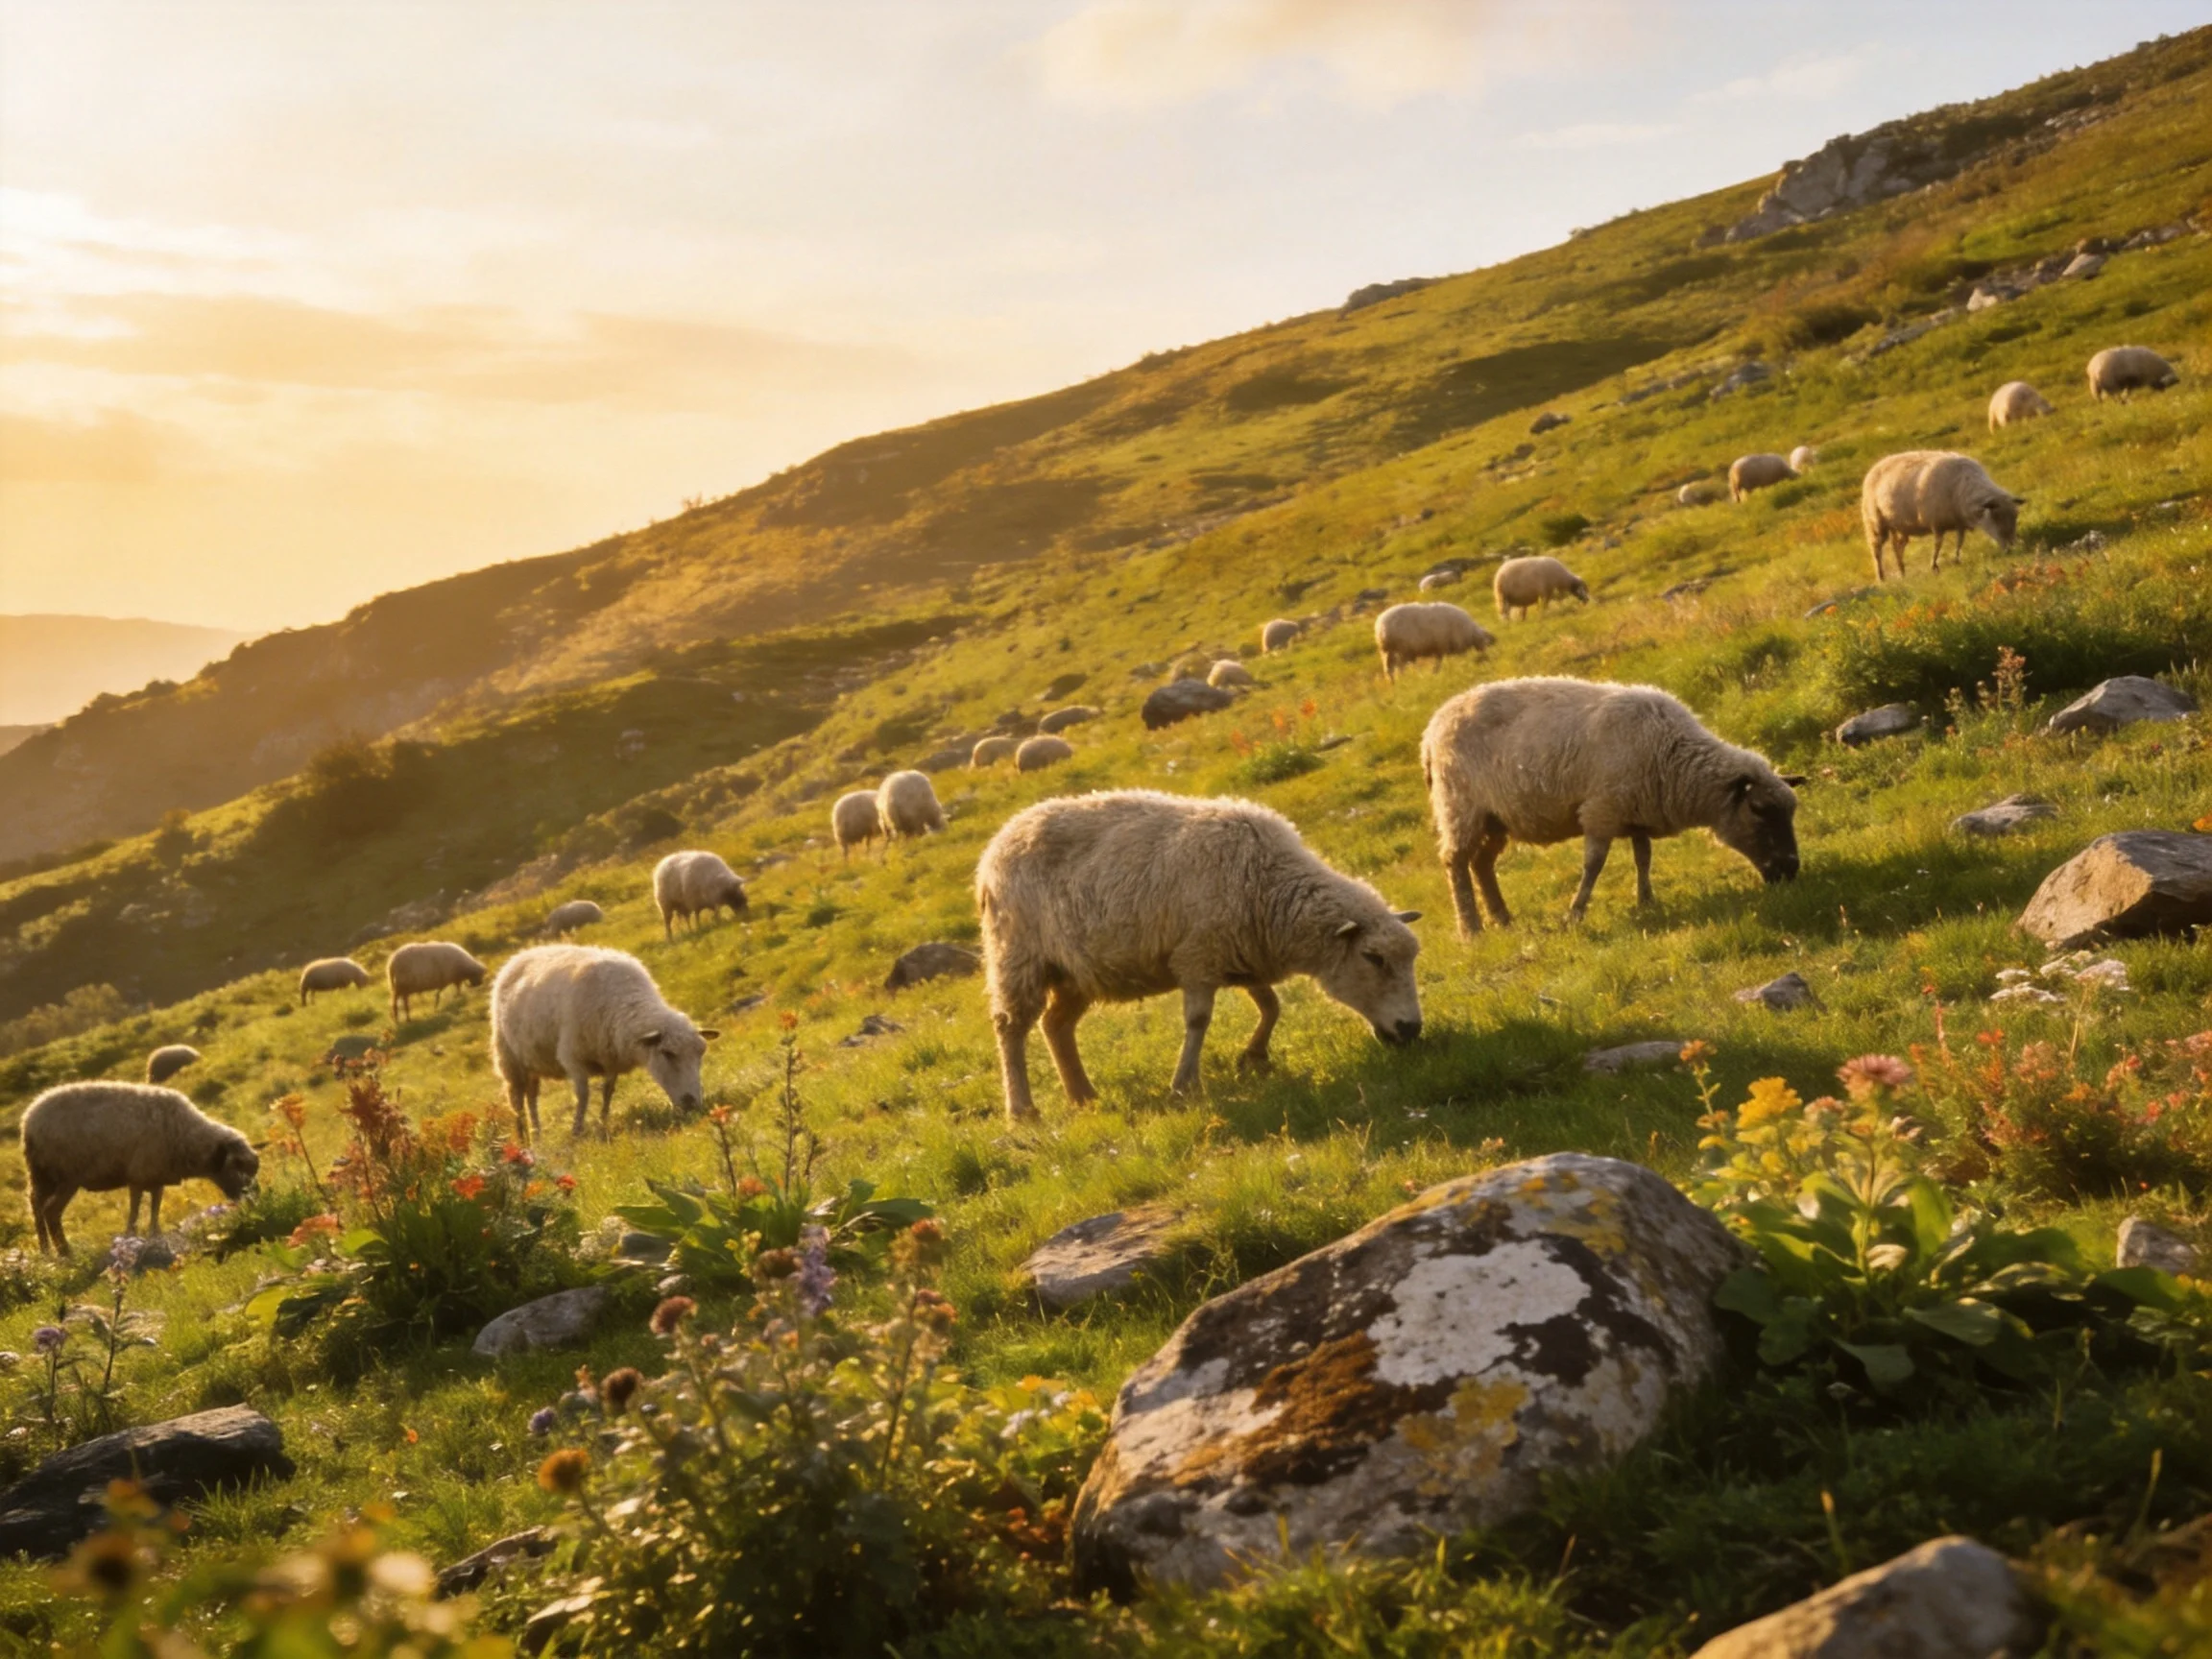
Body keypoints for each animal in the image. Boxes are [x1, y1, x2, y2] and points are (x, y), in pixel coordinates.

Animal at [22, 1082, 259, 1255]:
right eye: (236, 1167)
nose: (254, 1200)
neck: (186, 1136)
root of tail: (29, 1120)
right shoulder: (138, 1175)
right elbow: (135, 1210)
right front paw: (130, 1237)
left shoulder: (157, 1176)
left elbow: (155, 1207)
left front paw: (155, 1235)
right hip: (64, 1176)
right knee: (50, 1211)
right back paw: (65, 1253)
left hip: (43, 1176)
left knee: (36, 1206)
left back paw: (46, 1252)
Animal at [489, 945, 719, 1140]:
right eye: (668, 1053)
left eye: (701, 1053)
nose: (693, 1104)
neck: (622, 1002)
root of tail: (521, 955)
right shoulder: (572, 1058)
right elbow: (583, 1096)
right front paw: (577, 1131)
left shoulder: (610, 1060)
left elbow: (608, 1092)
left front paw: (603, 1123)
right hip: (509, 1058)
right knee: (517, 1101)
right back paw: (524, 1140)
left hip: (531, 1063)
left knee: (531, 1097)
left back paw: (537, 1135)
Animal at [976, 790, 1422, 1120]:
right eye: (1373, 958)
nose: (1412, 1030)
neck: (1268, 885)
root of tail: (995, 846)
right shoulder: (1198, 957)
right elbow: (1199, 1020)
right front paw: (1185, 1084)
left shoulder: (1240, 953)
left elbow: (1271, 1005)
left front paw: (1254, 1057)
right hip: (1018, 956)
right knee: (1010, 1028)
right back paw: (1022, 1109)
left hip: (1076, 970)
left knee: (1056, 1026)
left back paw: (1083, 1094)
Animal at [1421, 676, 1802, 936]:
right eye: (1759, 811)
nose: (1791, 870)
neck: (1671, 755)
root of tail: (1432, 728)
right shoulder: (1600, 811)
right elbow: (1594, 865)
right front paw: (1575, 913)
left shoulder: (1636, 810)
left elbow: (1643, 857)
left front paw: (1646, 901)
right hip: (1460, 806)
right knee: (1456, 863)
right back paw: (1471, 929)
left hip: (1495, 817)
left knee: (1482, 863)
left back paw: (1502, 918)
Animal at [1860, 450, 2024, 580]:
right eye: (1996, 517)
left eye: (2016, 517)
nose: (2011, 548)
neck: (1962, 489)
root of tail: (1875, 466)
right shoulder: (1936, 522)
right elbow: (1937, 545)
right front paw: (1934, 566)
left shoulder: (1959, 522)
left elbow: (1960, 542)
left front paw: (1956, 559)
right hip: (1875, 522)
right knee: (1876, 550)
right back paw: (1881, 577)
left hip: (1899, 526)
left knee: (1897, 547)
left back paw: (1902, 571)